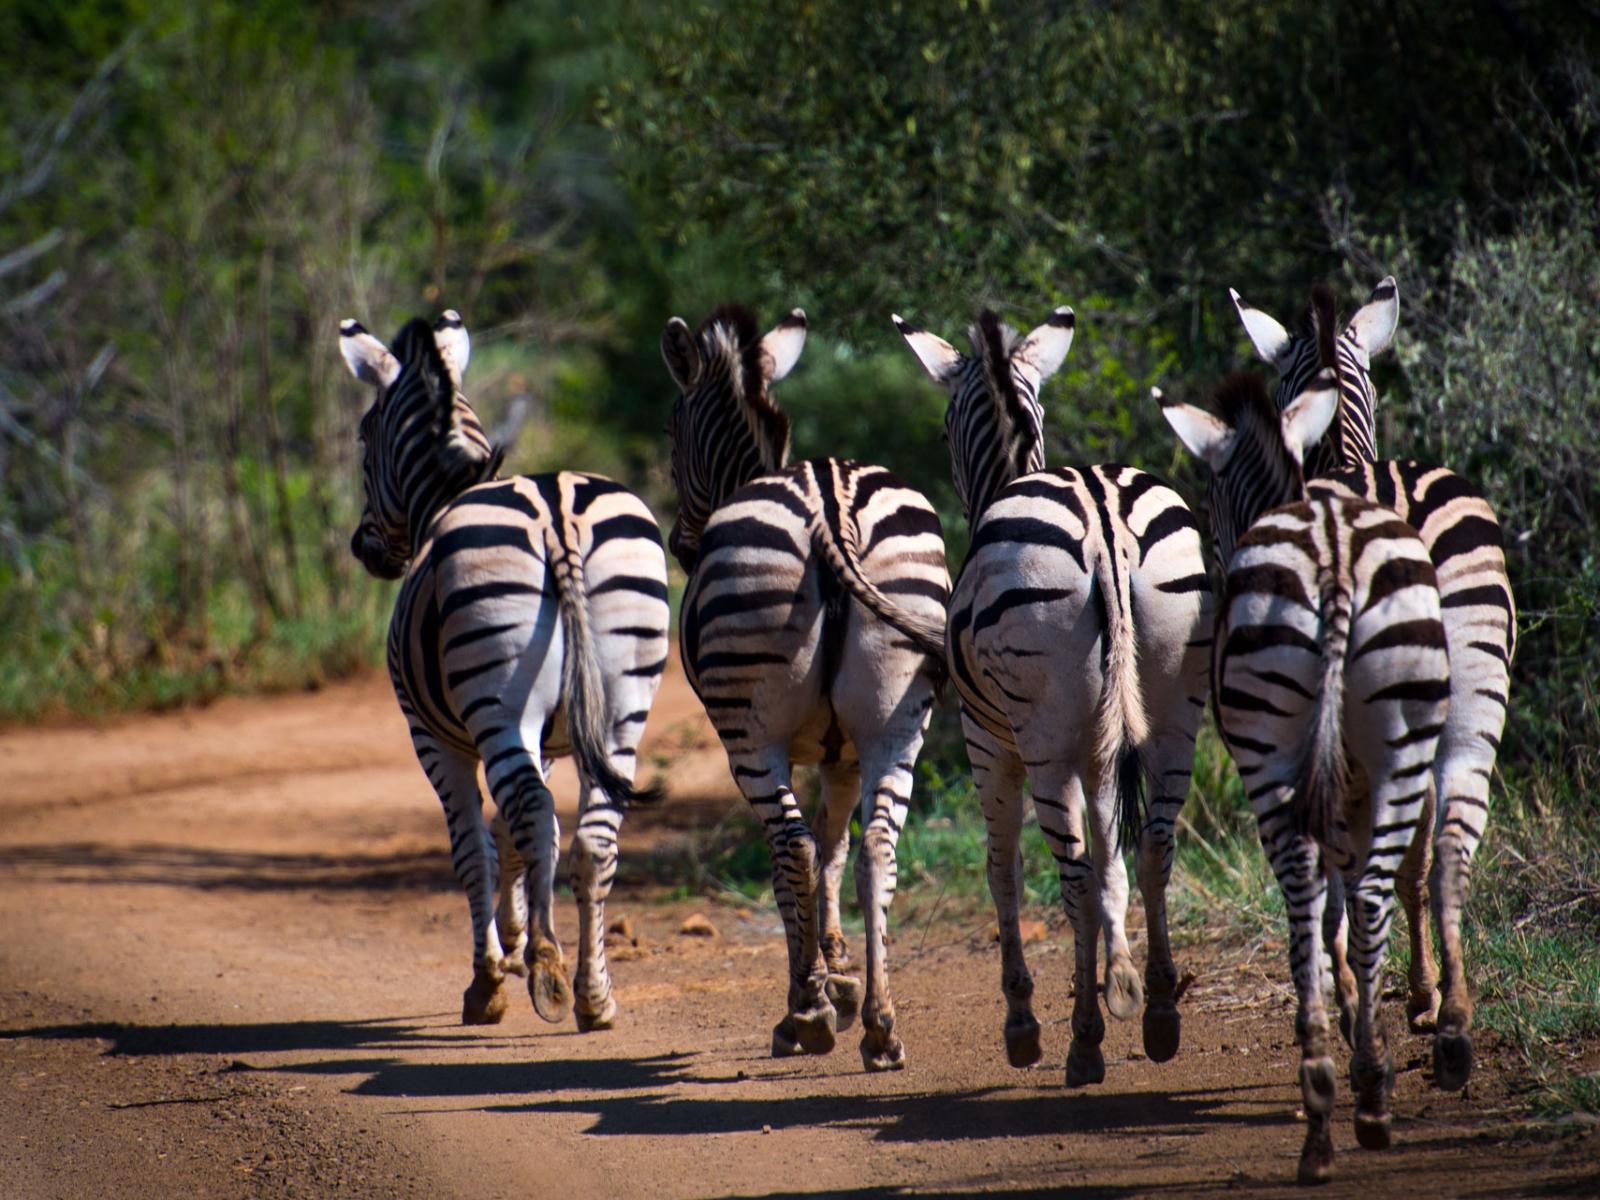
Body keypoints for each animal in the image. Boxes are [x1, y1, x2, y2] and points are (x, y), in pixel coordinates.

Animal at [337, 310, 668, 1036]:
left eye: (363, 443)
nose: (362, 548)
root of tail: (557, 512)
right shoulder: (538, 738)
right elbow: (513, 842)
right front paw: (515, 939)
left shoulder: (437, 738)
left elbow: (474, 847)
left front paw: (489, 979)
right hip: (620, 702)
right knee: (590, 837)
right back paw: (594, 995)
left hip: (499, 705)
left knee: (535, 815)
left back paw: (548, 977)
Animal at [662, 300, 947, 1068]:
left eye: (672, 437)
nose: (679, 547)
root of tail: (830, 504)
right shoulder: (841, 755)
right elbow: (835, 846)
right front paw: (843, 972)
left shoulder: (782, 748)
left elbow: (800, 855)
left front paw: (820, 985)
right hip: (899, 720)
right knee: (878, 846)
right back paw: (881, 1025)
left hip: (749, 735)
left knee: (789, 844)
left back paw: (805, 1016)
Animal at [902, 305, 1209, 1088]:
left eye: (943, 430)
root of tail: (1102, 520)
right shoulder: (1097, 748)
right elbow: (1111, 864)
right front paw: (1120, 980)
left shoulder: (988, 743)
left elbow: (1004, 869)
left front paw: (1026, 1020)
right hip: (1175, 708)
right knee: (1155, 846)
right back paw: (1160, 1011)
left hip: (1038, 736)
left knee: (1065, 873)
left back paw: (1084, 1041)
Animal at [1164, 371, 1452, 1190]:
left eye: (1211, 505)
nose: (1215, 571)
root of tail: (1330, 556)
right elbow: (1347, 907)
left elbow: (1329, 911)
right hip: (1385, 747)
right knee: (1367, 897)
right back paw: (1363, 1091)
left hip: (1280, 759)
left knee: (1315, 901)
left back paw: (1333, 1096)